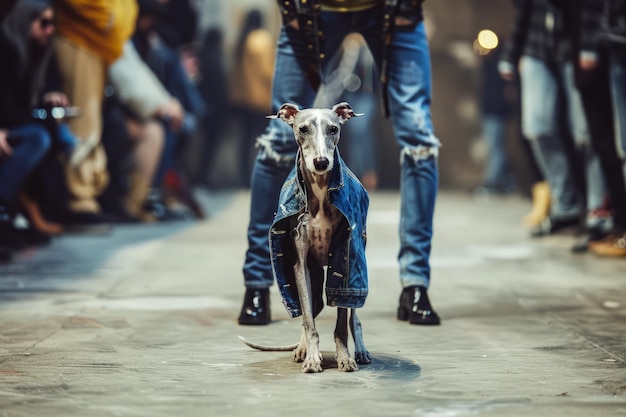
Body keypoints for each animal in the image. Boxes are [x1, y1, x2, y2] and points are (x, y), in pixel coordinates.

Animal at [236, 102, 368, 372]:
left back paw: (360, 350)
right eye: (303, 129)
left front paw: (345, 357)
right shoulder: (300, 264)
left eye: (333, 129)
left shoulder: (344, 260)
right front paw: (312, 357)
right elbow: (308, 319)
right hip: (313, 274)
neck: (319, 193)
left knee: (354, 315)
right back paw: (302, 348)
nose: (321, 162)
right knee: (312, 309)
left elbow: (342, 320)